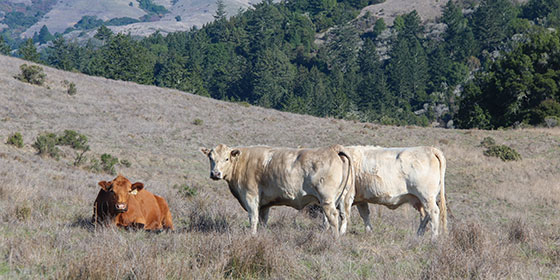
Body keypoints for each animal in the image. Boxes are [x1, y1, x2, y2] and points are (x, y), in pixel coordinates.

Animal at [199, 143, 352, 235]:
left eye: (226, 158)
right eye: (211, 158)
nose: (215, 173)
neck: (242, 163)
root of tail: (333, 149)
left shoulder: (250, 196)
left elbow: (253, 218)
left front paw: (252, 235)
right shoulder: (264, 203)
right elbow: (263, 220)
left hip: (326, 199)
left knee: (333, 217)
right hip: (337, 198)